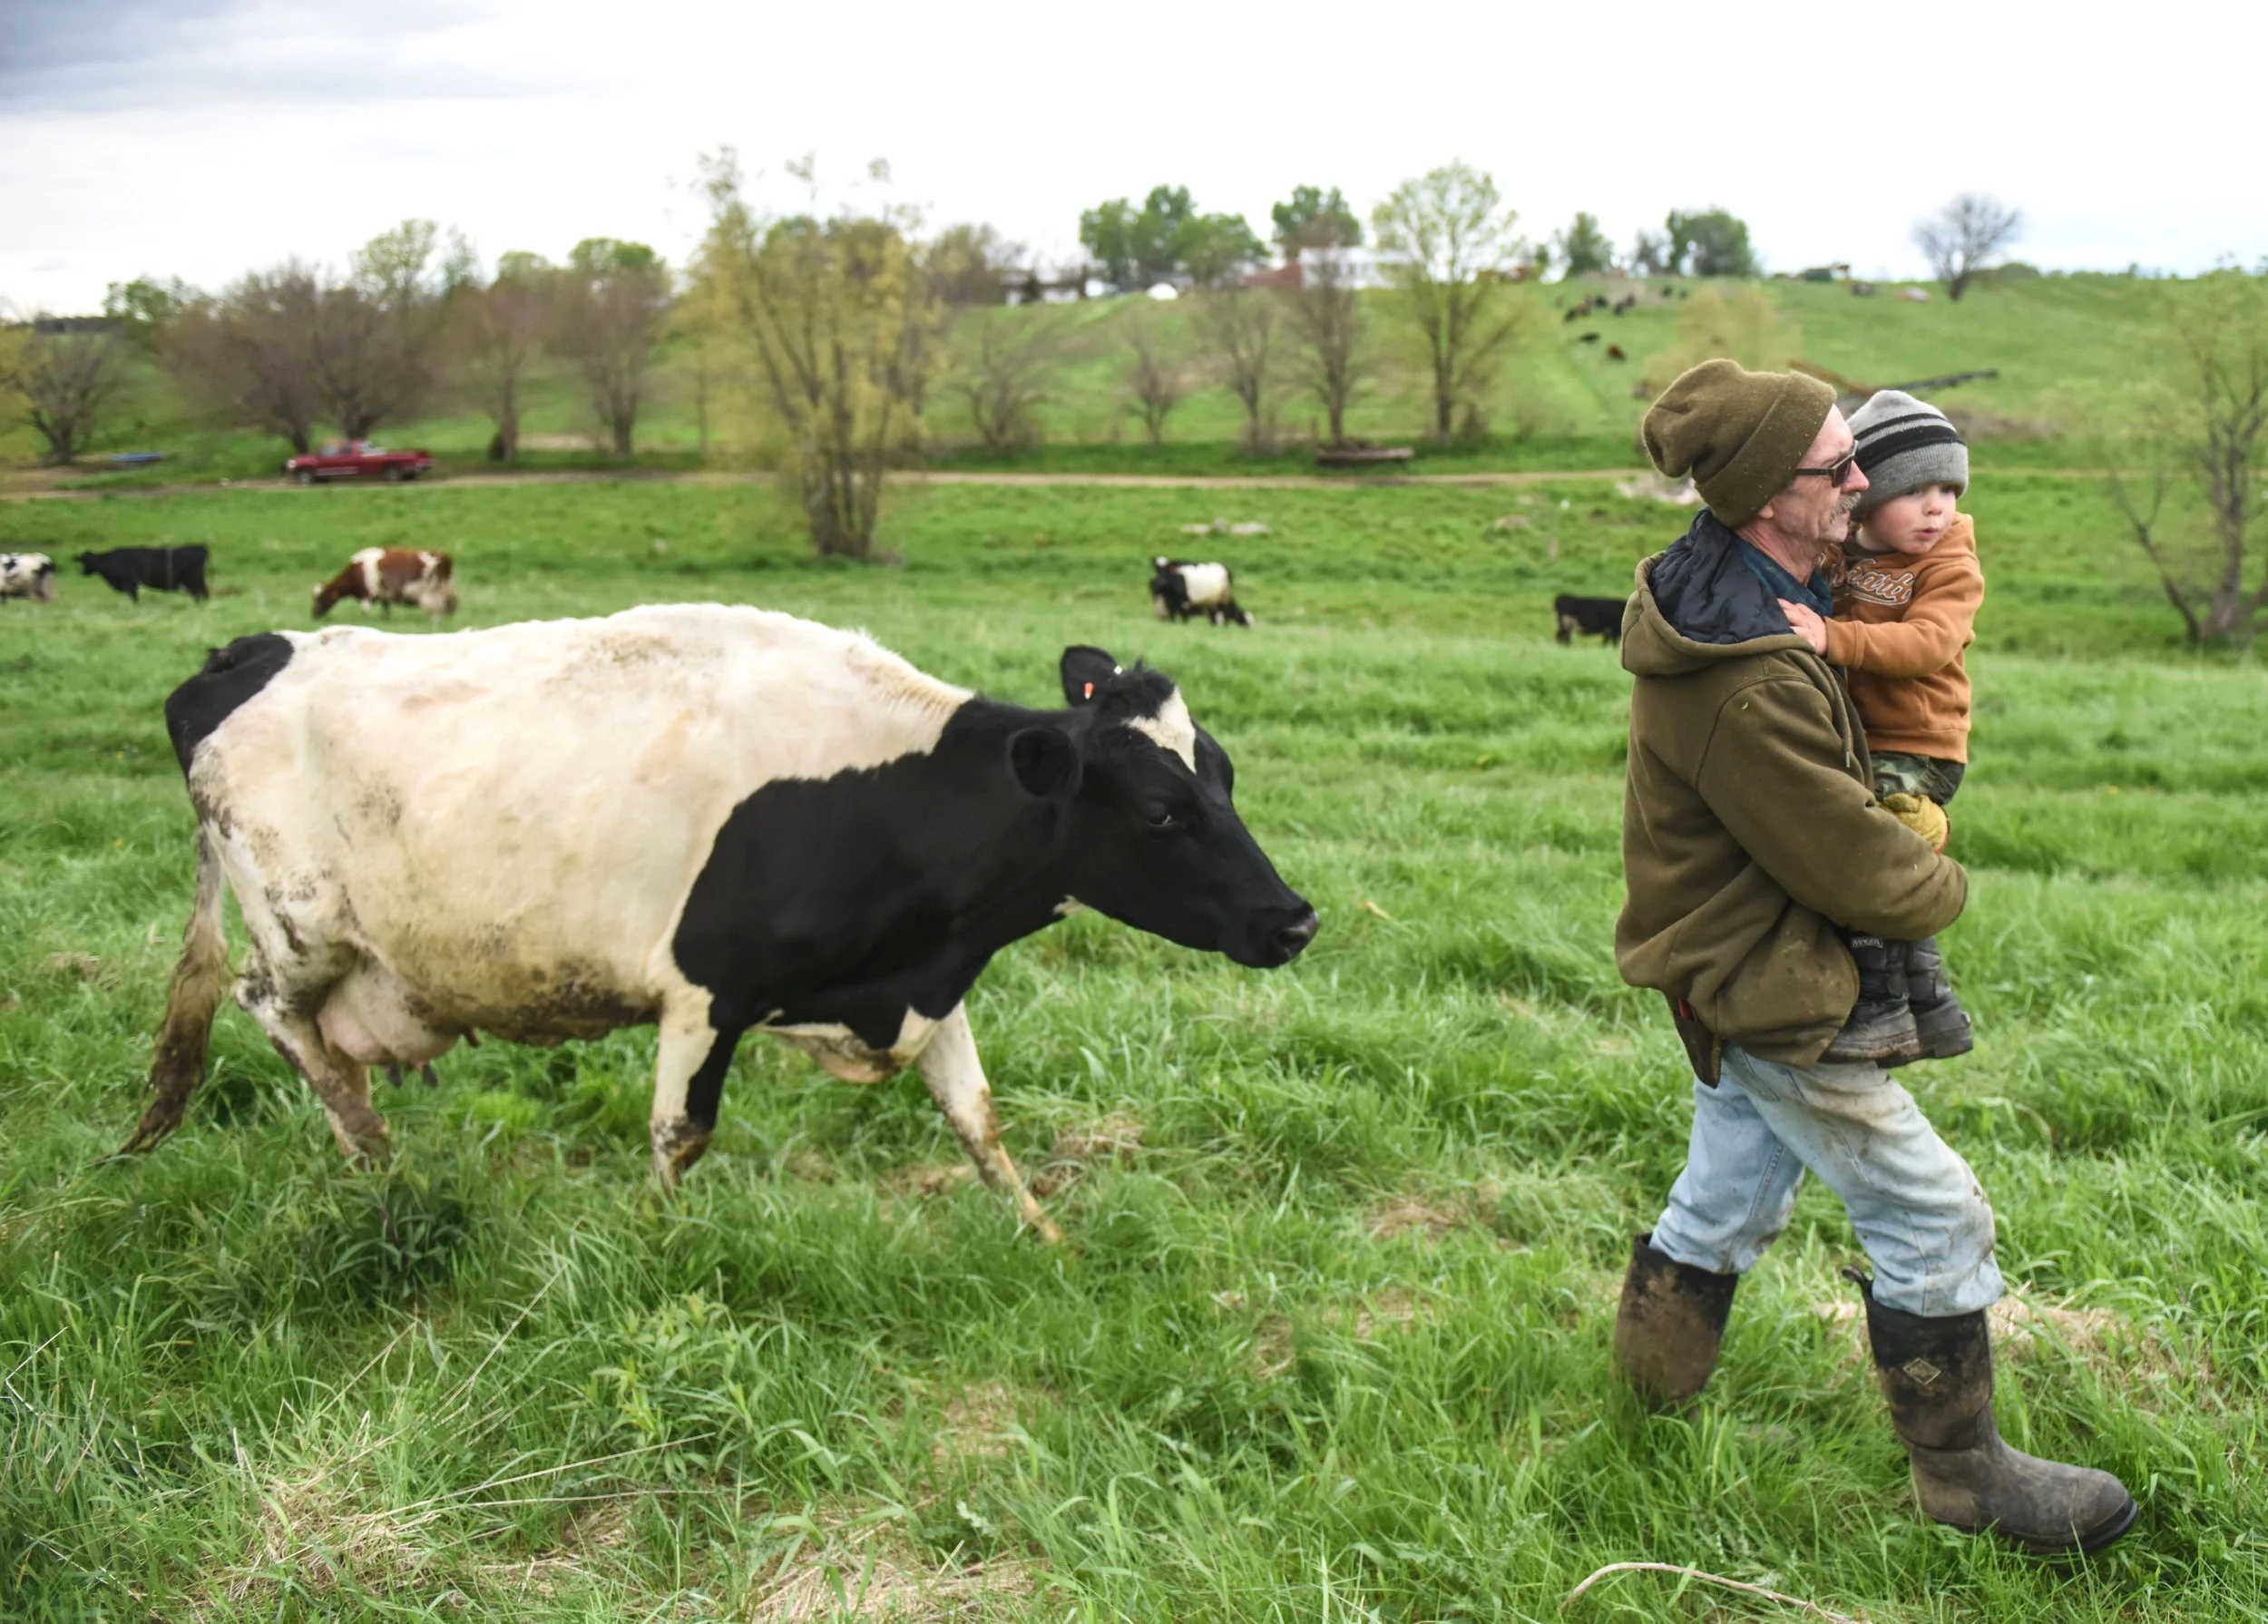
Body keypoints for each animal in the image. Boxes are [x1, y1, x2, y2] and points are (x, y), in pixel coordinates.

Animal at [78, 546, 210, 603]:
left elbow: (134, 598)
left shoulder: (130, 584)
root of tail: (200, 548)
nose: (82, 573)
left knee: (201, 594)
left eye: (86, 562)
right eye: (82, 561)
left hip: (194, 580)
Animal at [123, 603, 1325, 1234]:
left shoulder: (928, 981)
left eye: (1224, 775)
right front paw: (653, 1248)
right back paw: (379, 1156)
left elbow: (980, 1121)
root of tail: (245, 650)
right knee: (274, 1013)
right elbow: (679, 1132)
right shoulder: (705, 988)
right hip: (302, 926)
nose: (1294, 920)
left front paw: (1047, 1239)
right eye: (1164, 810)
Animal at [315, 549, 455, 617]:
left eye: (321, 598)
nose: (313, 614)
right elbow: (385, 610)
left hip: (436, 591)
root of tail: (442, 556)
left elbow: (365, 611)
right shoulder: (383, 596)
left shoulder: (367, 594)